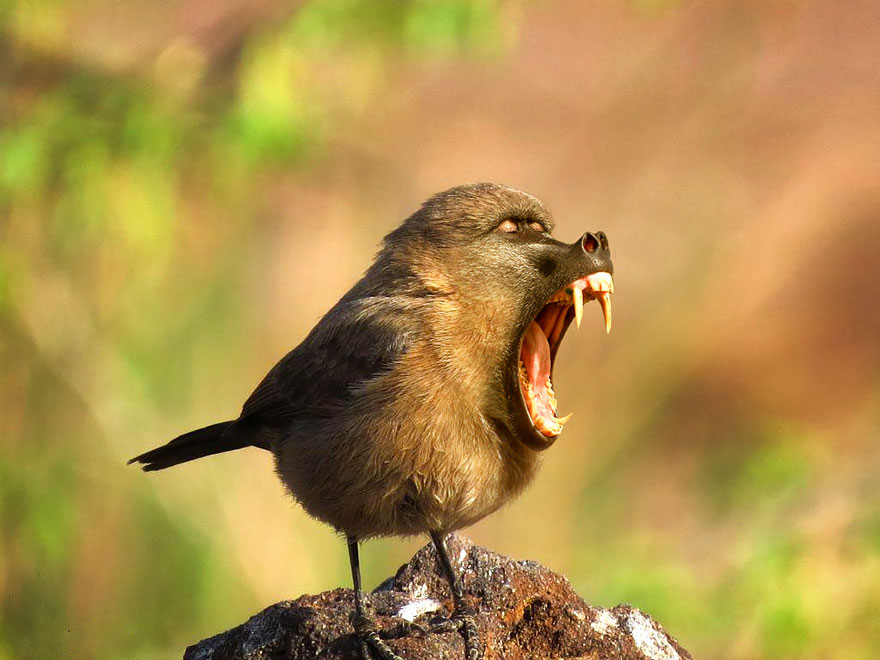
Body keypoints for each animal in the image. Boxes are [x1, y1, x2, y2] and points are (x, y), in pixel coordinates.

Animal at [130, 183, 614, 660]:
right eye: (512, 228)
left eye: (541, 228)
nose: (597, 242)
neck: (452, 307)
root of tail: (248, 420)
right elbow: (356, 553)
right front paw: (367, 632)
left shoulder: (439, 499)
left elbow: (442, 545)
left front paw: (463, 615)